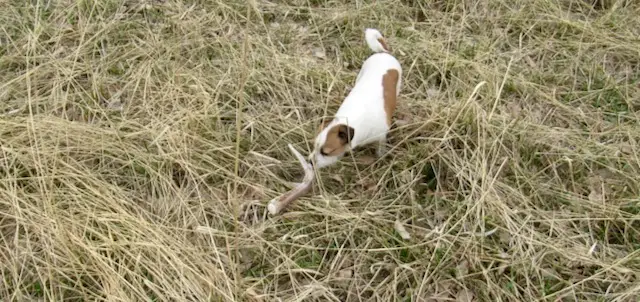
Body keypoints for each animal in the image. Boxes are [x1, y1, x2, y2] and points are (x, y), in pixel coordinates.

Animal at [308, 27, 400, 170]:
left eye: (326, 152)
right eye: (313, 146)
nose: (309, 162)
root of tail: (383, 53)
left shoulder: (381, 136)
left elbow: (380, 146)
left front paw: (380, 156)